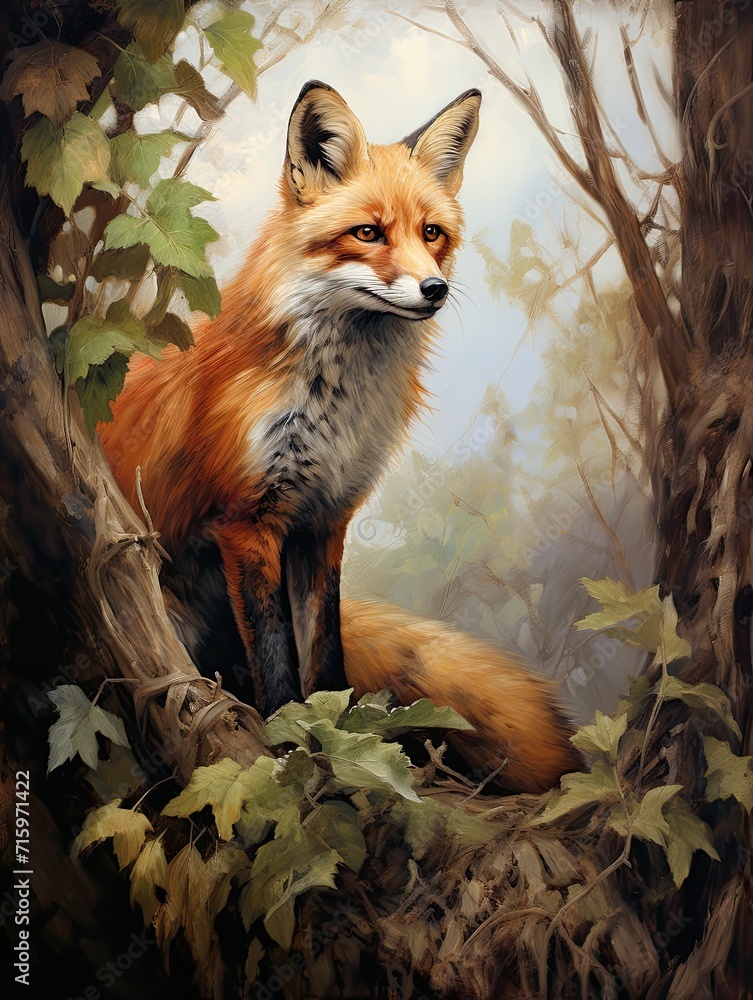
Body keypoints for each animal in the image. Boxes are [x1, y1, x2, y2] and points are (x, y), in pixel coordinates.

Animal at [100, 81, 581, 793]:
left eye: (431, 233)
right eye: (367, 233)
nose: (435, 288)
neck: (338, 408)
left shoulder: (326, 517)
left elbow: (325, 651)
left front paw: (347, 740)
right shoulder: (249, 523)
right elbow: (277, 655)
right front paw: (285, 750)